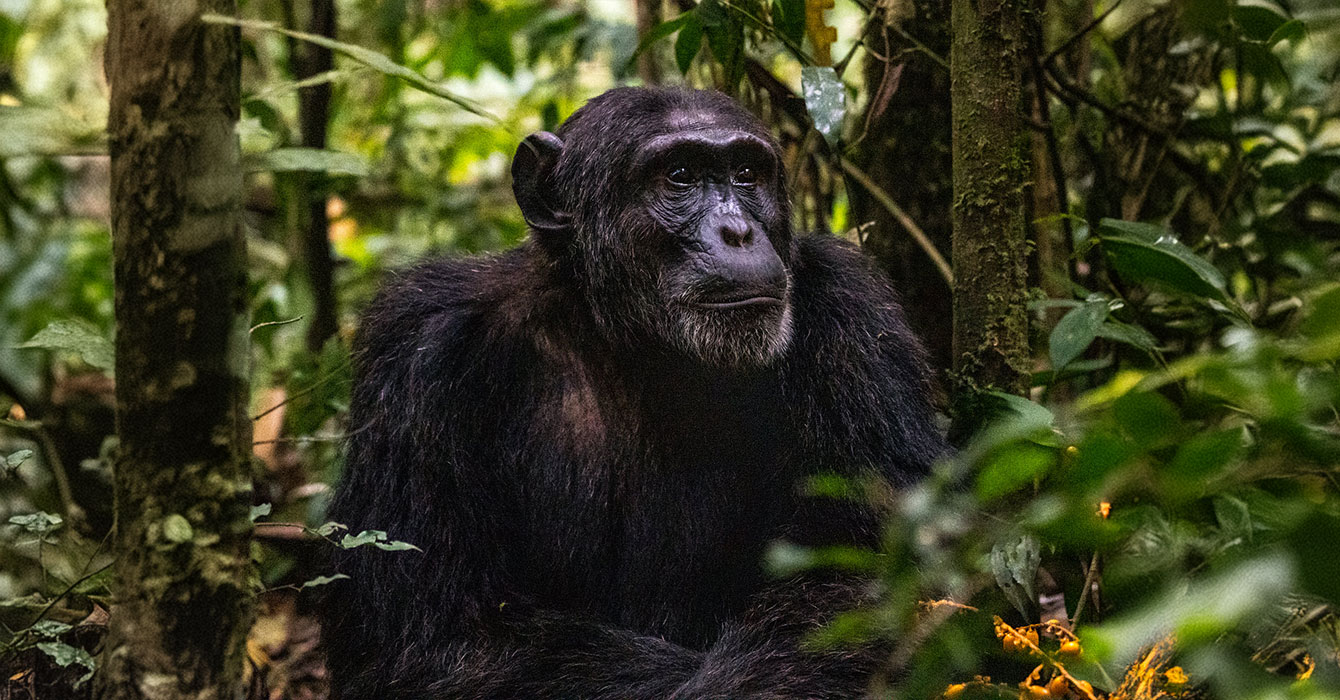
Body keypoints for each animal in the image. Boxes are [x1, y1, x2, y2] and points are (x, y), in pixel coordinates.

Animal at [320, 88, 948, 697]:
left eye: (746, 173)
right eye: (680, 176)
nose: (738, 232)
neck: (629, 337)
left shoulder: (854, 320)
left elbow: (856, 578)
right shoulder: (421, 347)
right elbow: (427, 636)